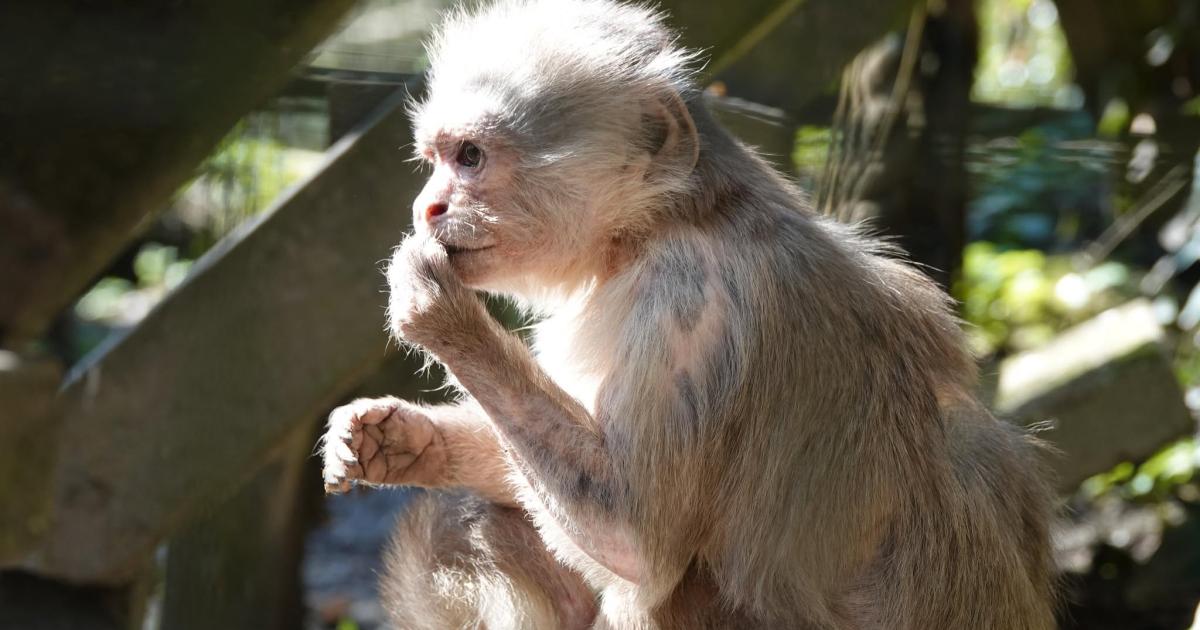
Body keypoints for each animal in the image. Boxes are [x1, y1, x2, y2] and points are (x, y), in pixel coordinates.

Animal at [319, 1, 1058, 628]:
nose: (427, 207)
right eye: (434, 160)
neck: (660, 223)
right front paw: (404, 438)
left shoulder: (693, 304)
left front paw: (438, 314)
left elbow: (636, 542)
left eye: (470, 157)